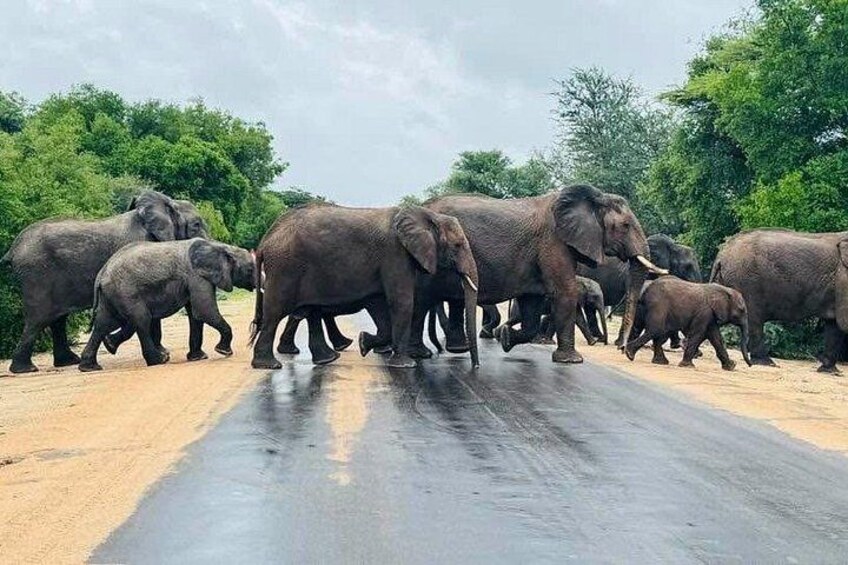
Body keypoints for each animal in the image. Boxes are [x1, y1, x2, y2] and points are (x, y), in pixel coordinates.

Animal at [1, 191, 207, 374]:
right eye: (196, 225)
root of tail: (12, 250)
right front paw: (163, 355)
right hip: (37, 276)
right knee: (38, 319)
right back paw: (26, 369)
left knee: (58, 318)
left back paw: (68, 361)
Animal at [78, 239, 255, 371]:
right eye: (251, 269)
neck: (221, 246)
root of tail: (101, 274)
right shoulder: (196, 277)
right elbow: (204, 311)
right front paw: (224, 351)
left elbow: (196, 315)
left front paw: (198, 358)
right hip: (125, 291)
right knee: (141, 320)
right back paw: (159, 360)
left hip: (112, 294)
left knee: (104, 323)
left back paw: (95, 361)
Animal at [249, 204, 479, 369]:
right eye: (458, 245)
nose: (476, 367)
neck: (428, 216)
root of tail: (264, 241)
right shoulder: (395, 255)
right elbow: (402, 302)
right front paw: (406, 365)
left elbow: (379, 305)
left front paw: (363, 343)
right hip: (285, 269)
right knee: (274, 314)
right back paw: (269, 366)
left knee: (311, 311)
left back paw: (327, 359)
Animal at [413, 184, 665, 364]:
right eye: (625, 226)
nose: (622, 349)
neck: (593, 199)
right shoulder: (554, 242)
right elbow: (565, 291)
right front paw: (572, 361)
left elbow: (532, 304)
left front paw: (506, 338)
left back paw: (457, 348)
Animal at [711, 228, 848, 373]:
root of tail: (721, 254)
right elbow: (843, 322)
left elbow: (835, 325)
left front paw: (830, 371)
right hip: (746, 282)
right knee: (754, 320)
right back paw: (766, 363)